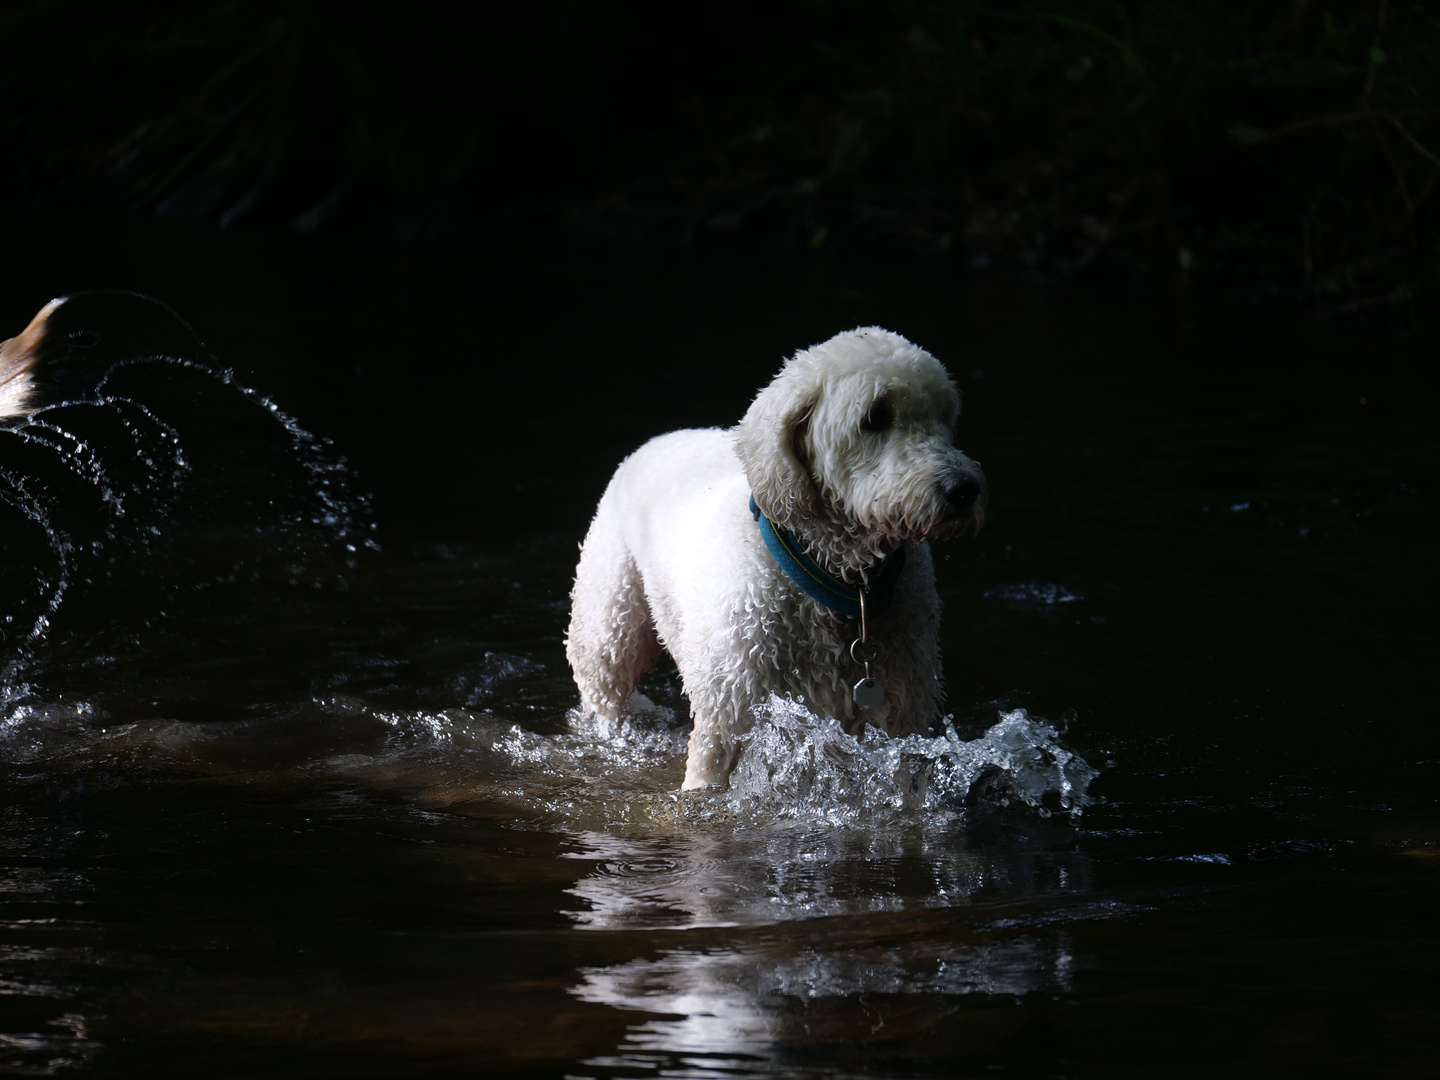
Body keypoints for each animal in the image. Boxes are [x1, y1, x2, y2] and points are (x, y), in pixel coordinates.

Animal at [567, 325, 984, 789]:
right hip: (608, 626)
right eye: (875, 417)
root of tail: (659, 438)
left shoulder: (903, 708)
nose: (964, 490)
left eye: (945, 416)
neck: (834, 581)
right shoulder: (729, 709)